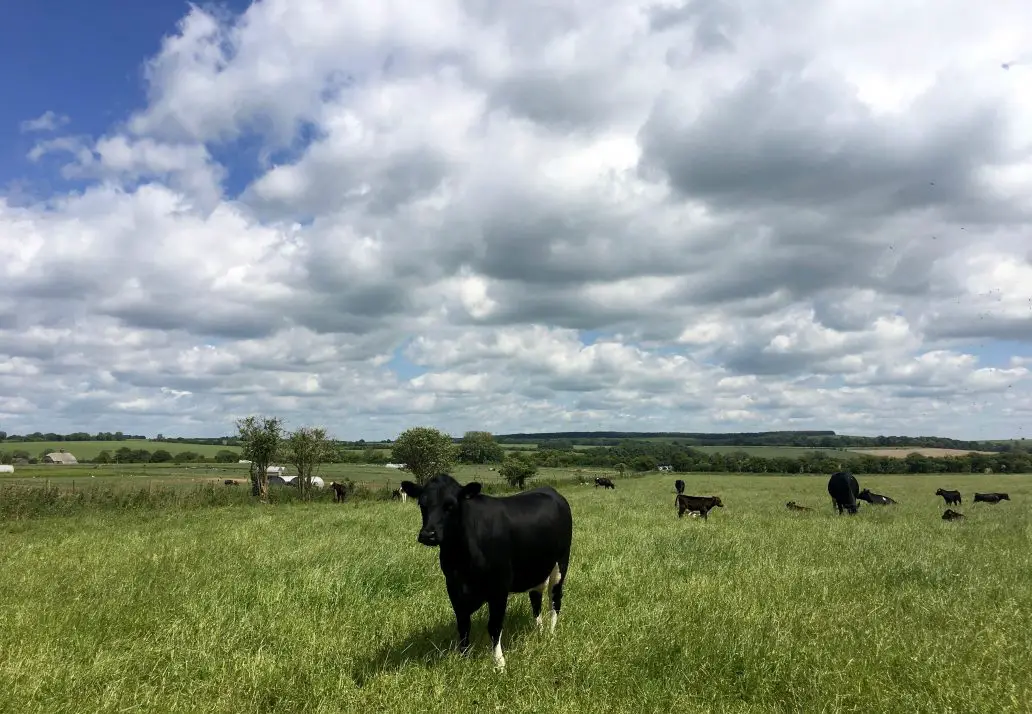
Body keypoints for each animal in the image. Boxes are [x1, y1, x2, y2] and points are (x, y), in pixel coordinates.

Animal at [398, 474, 573, 668]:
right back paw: (539, 631)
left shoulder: (499, 588)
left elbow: (494, 626)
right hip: (536, 569)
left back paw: (550, 634)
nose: (428, 535)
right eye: (422, 504)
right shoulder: (453, 587)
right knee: (536, 599)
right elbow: (463, 625)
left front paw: (499, 663)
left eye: (450, 505)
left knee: (555, 599)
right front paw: (464, 658)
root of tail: (550, 490)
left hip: (561, 563)